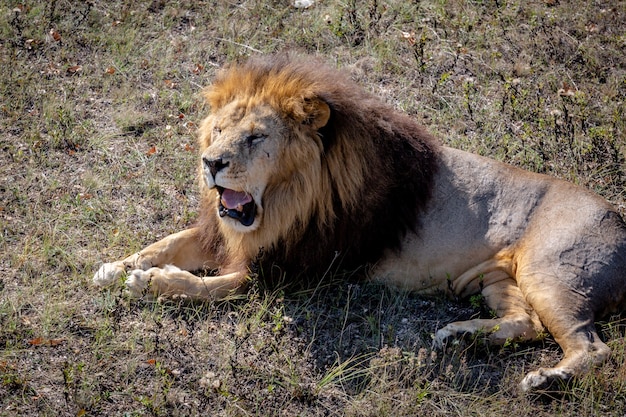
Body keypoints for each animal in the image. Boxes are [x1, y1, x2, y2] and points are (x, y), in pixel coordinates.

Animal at [91, 52, 624, 390]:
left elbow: (210, 287)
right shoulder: (232, 235)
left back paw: (546, 379)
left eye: (256, 137)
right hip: (498, 279)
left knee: (593, 348)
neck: (286, 198)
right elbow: (167, 242)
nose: (211, 162)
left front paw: (152, 282)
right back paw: (459, 336)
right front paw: (117, 267)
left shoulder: (288, 271)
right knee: (526, 322)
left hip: (551, 274)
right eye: (219, 130)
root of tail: (619, 220)